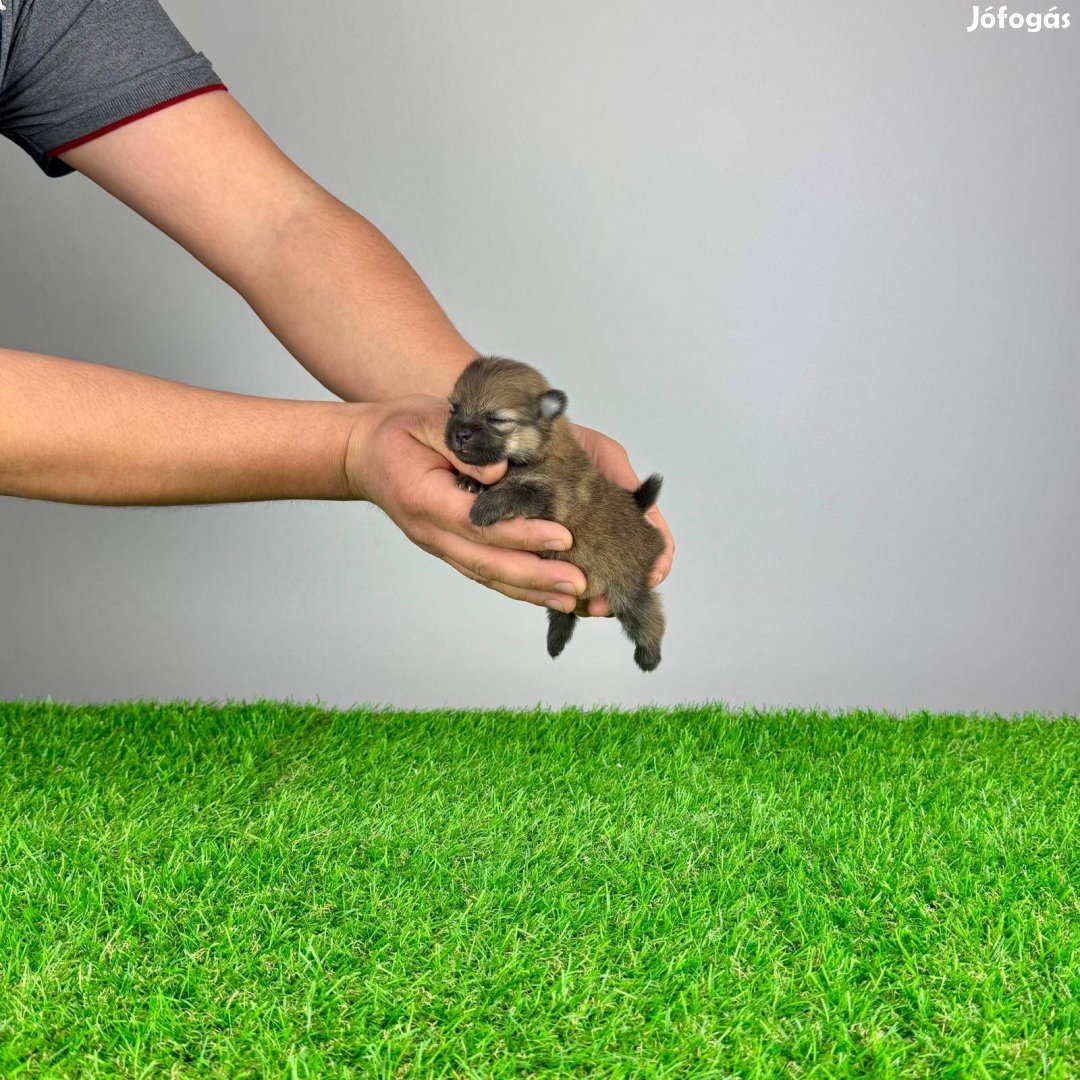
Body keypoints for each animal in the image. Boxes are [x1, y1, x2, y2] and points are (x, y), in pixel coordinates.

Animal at [440, 358, 660, 669]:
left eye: (497, 420)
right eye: (453, 410)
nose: (460, 433)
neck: (538, 451)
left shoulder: (553, 498)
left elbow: (516, 492)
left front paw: (485, 507)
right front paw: (471, 480)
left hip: (627, 587)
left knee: (649, 618)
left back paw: (649, 656)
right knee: (562, 611)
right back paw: (555, 641)